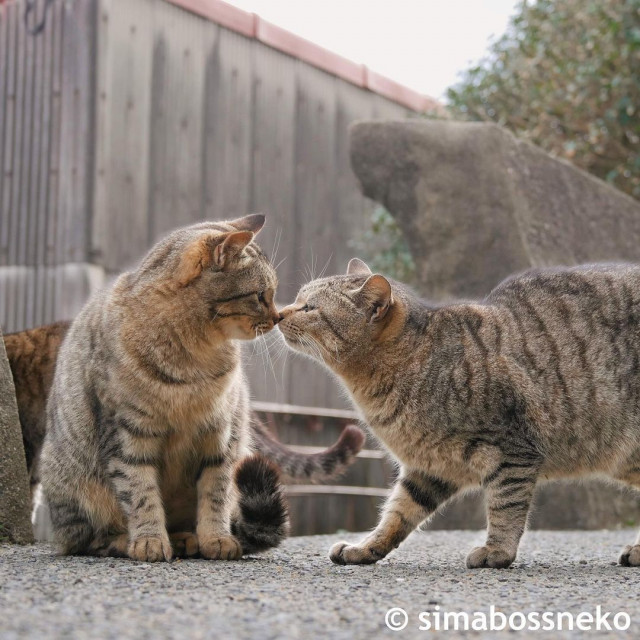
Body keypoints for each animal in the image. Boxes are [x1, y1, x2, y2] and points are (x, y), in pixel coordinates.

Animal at [37, 218, 362, 564]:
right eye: (261, 295)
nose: (277, 317)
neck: (194, 359)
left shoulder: (220, 436)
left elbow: (215, 494)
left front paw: (216, 539)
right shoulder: (127, 435)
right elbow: (140, 493)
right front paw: (149, 540)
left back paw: (186, 539)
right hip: (72, 485)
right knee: (85, 539)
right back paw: (127, 541)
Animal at [278, 258, 640, 568]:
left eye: (309, 307)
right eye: (298, 299)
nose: (279, 313)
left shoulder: (512, 451)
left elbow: (505, 506)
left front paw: (497, 551)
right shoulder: (430, 467)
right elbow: (397, 513)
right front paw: (366, 548)